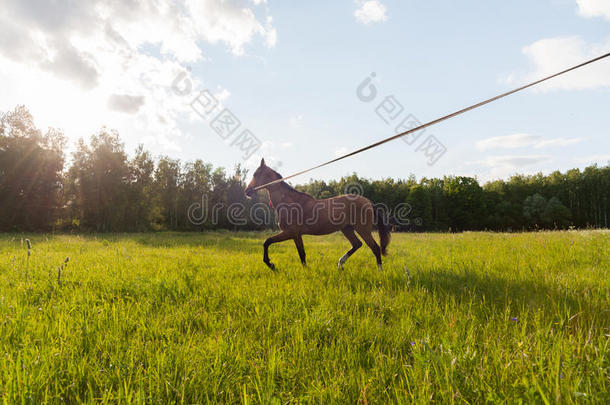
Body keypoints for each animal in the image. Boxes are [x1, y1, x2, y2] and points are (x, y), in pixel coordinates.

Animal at [243, 159, 390, 270]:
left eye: (256, 174)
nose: (247, 191)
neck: (289, 202)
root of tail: (368, 202)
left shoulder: (291, 233)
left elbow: (270, 243)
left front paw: (271, 264)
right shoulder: (295, 235)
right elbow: (296, 252)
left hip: (362, 229)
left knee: (375, 248)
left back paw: (379, 271)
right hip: (346, 229)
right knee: (357, 244)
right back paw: (340, 264)